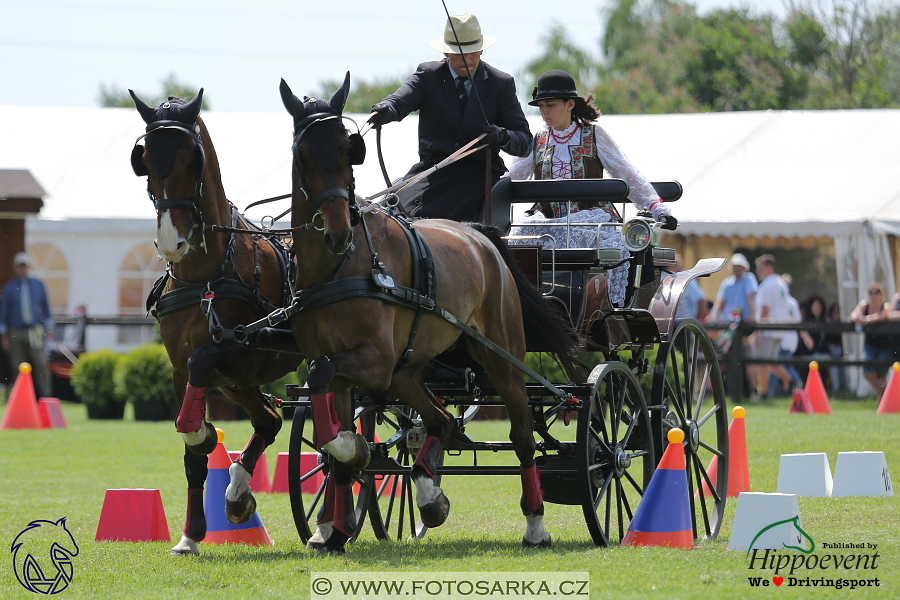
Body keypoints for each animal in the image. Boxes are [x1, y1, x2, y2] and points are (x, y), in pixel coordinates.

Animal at [128, 91, 302, 556]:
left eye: (193, 159)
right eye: (144, 159)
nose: (173, 242)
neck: (203, 275)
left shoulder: (241, 352)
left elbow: (203, 364)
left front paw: (206, 432)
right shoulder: (179, 369)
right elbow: (193, 453)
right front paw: (190, 534)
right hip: (237, 385)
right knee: (269, 421)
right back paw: (239, 496)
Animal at [278, 74, 580, 552]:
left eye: (348, 149)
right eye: (302, 153)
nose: (338, 230)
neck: (342, 267)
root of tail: (480, 234)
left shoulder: (375, 361)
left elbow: (325, 386)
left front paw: (352, 458)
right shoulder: (348, 371)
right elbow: (331, 431)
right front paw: (333, 527)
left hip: (500, 358)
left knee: (522, 436)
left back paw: (534, 525)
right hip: (407, 372)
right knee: (441, 419)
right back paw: (428, 493)